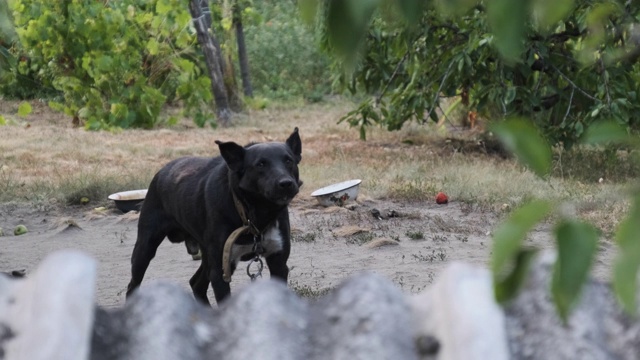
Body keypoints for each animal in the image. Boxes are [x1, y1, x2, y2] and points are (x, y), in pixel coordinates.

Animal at [129, 129, 304, 304]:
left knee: (196, 283)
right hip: (145, 247)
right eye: (261, 164)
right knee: (132, 286)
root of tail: (162, 170)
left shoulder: (278, 263)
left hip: (206, 254)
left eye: (289, 161)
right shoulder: (221, 271)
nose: (286, 183)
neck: (253, 215)